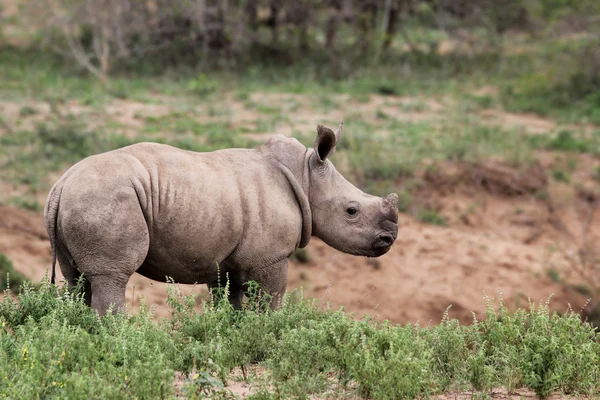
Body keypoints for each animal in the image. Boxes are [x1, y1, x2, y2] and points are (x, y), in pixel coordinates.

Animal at [42, 123, 398, 314]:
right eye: (351, 211)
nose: (389, 238)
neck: (306, 177)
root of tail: (61, 184)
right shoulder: (270, 258)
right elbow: (271, 300)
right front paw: (269, 332)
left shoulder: (228, 260)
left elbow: (230, 302)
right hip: (105, 198)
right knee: (111, 276)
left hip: (80, 201)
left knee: (77, 279)